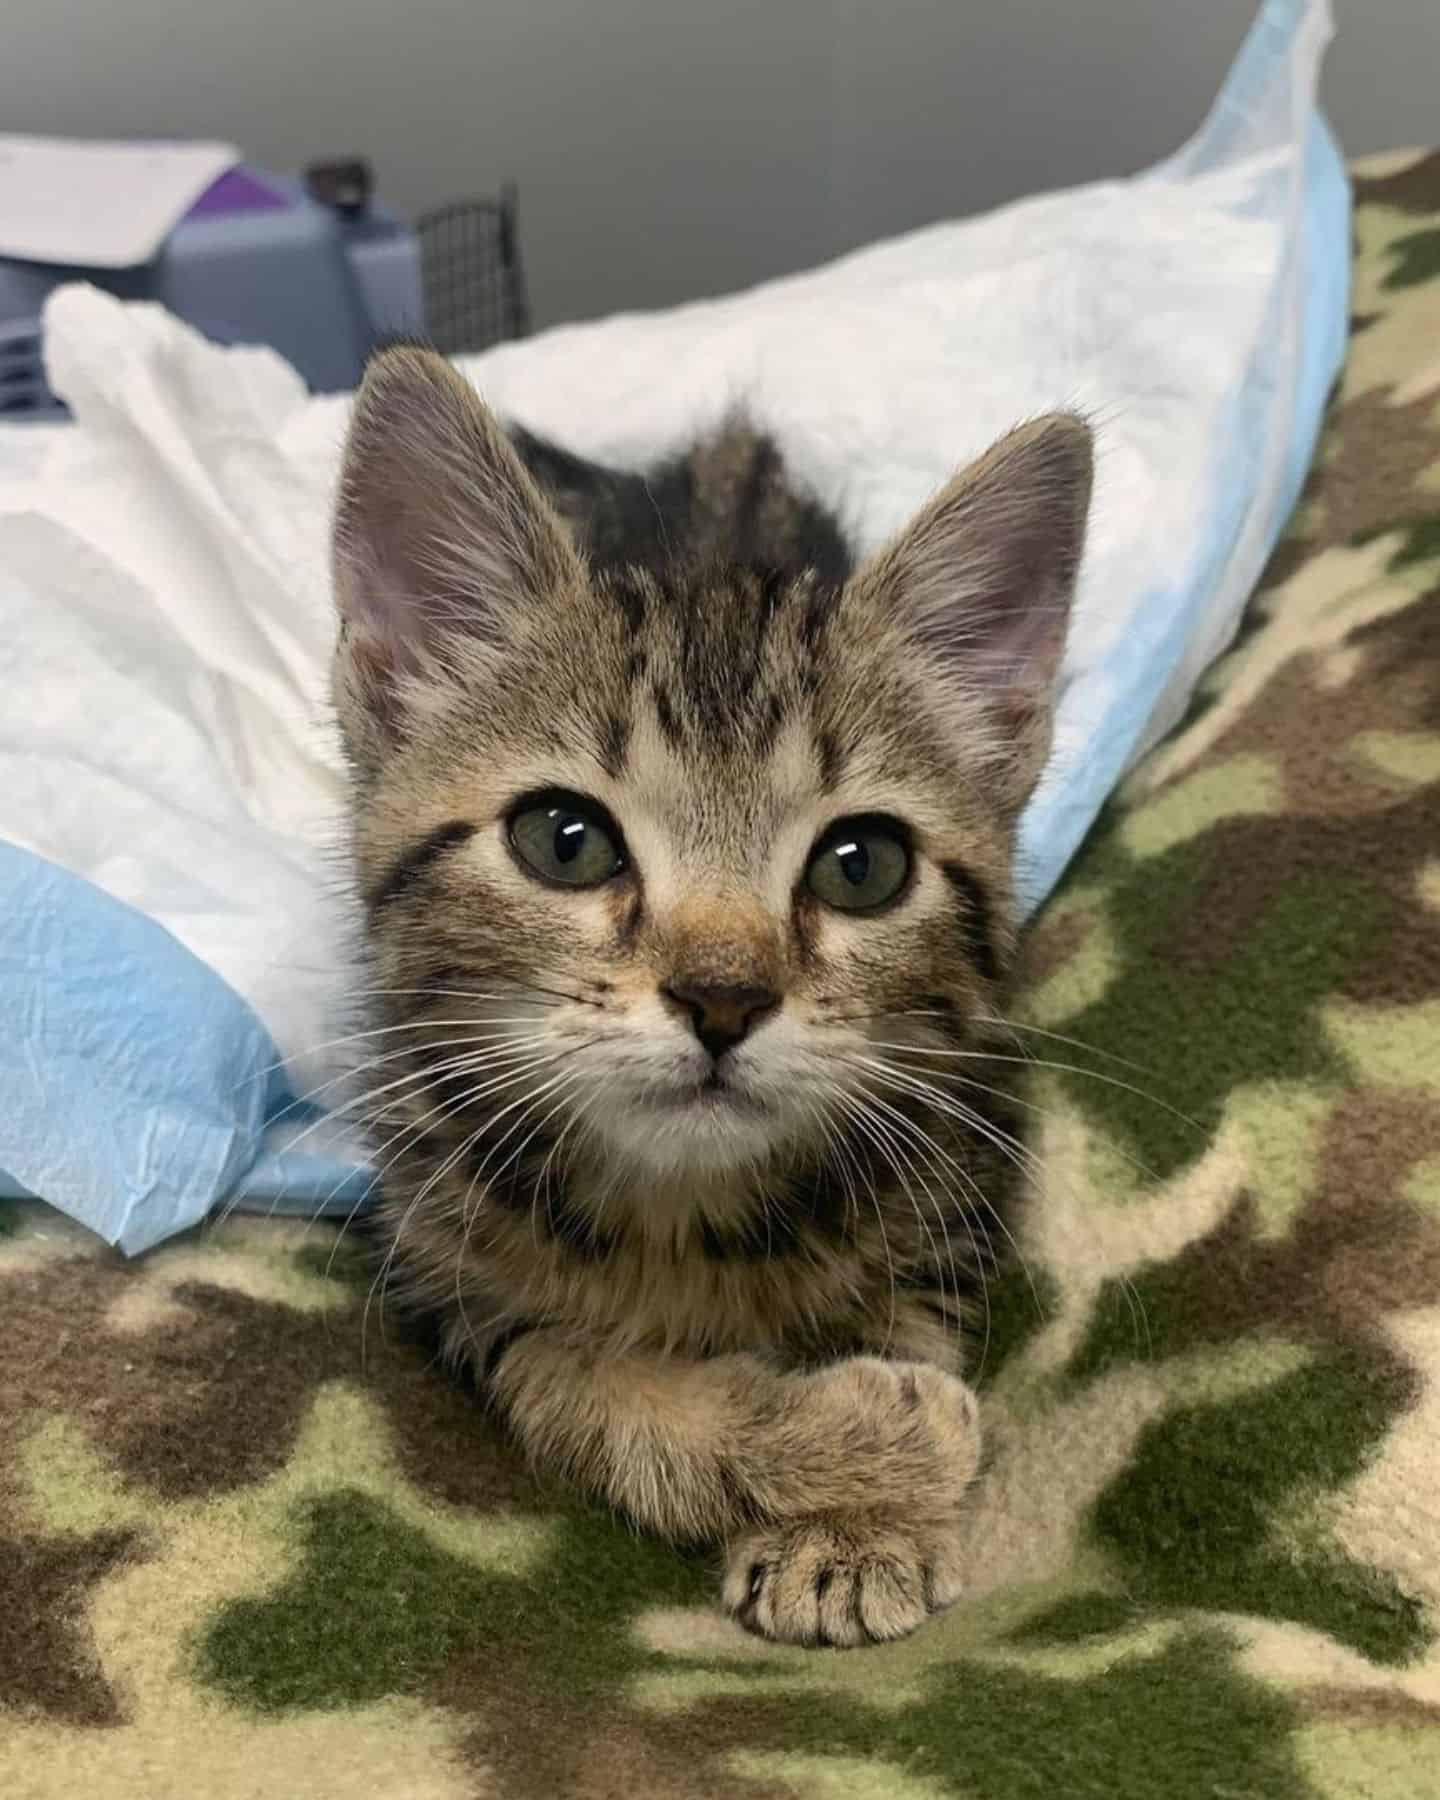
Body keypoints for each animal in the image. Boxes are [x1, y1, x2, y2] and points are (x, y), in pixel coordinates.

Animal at [329, 343, 1094, 1648]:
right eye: (565, 841)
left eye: (862, 865)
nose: (723, 999)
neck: (682, 1219)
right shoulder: (450, 1280)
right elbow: (591, 1390)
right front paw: (870, 1440)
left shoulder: (962, 1163)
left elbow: (909, 1315)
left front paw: (858, 1524)